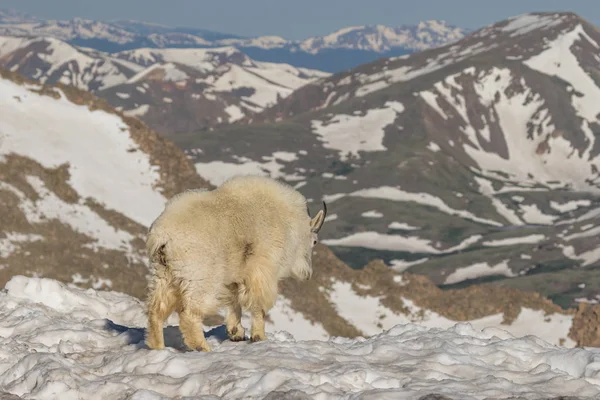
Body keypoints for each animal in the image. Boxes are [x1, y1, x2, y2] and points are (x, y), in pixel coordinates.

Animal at [144, 174, 326, 350]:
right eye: (315, 241)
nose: (307, 274)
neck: (287, 222)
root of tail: (162, 236)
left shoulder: (235, 274)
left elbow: (233, 301)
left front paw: (236, 333)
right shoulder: (261, 268)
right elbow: (257, 303)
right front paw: (259, 337)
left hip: (163, 272)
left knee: (156, 310)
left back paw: (157, 346)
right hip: (200, 278)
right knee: (190, 314)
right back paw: (202, 347)